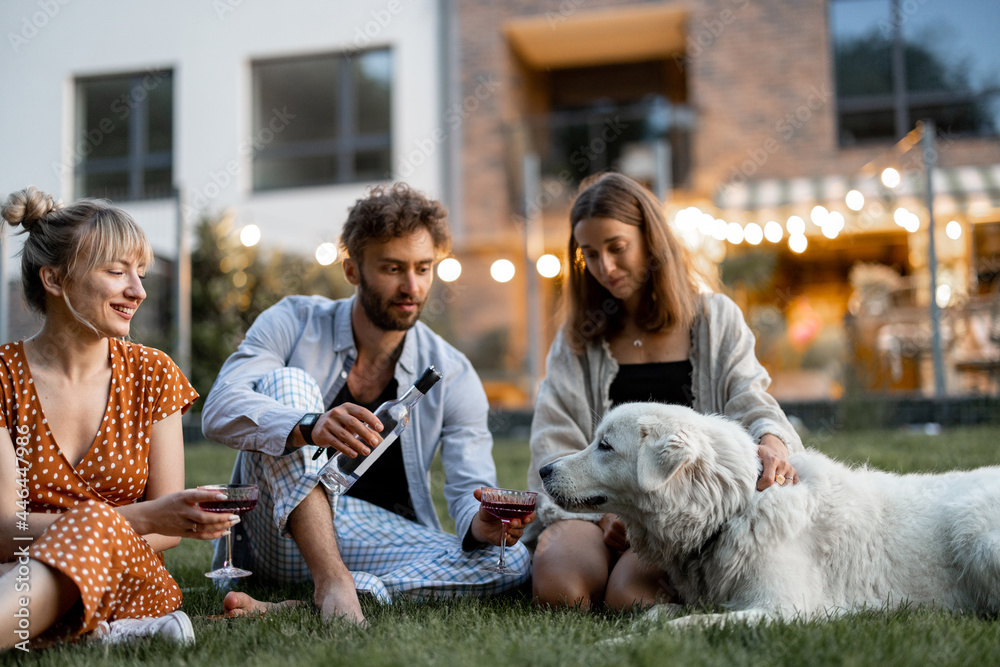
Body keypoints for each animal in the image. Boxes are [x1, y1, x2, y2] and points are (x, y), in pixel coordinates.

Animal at [540, 404, 1000, 628]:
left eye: (605, 446)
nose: (543, 470)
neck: (734, 508)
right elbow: (659, 614)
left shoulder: (783, 610)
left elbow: (687, 625)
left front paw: (615, 644)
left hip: (975, 535)